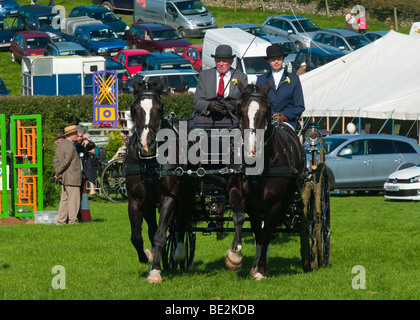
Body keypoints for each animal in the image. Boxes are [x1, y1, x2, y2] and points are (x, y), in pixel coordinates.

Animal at [226, 80, 306, 280]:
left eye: (266, 112)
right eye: (240, 111)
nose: (251, 152)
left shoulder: (276, 202)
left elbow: (268, 232)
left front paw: (262, 269)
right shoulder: (238, 192)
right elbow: (240, 217)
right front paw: (234, 254)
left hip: (286, 199)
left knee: (267, 231)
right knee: (257, 229)